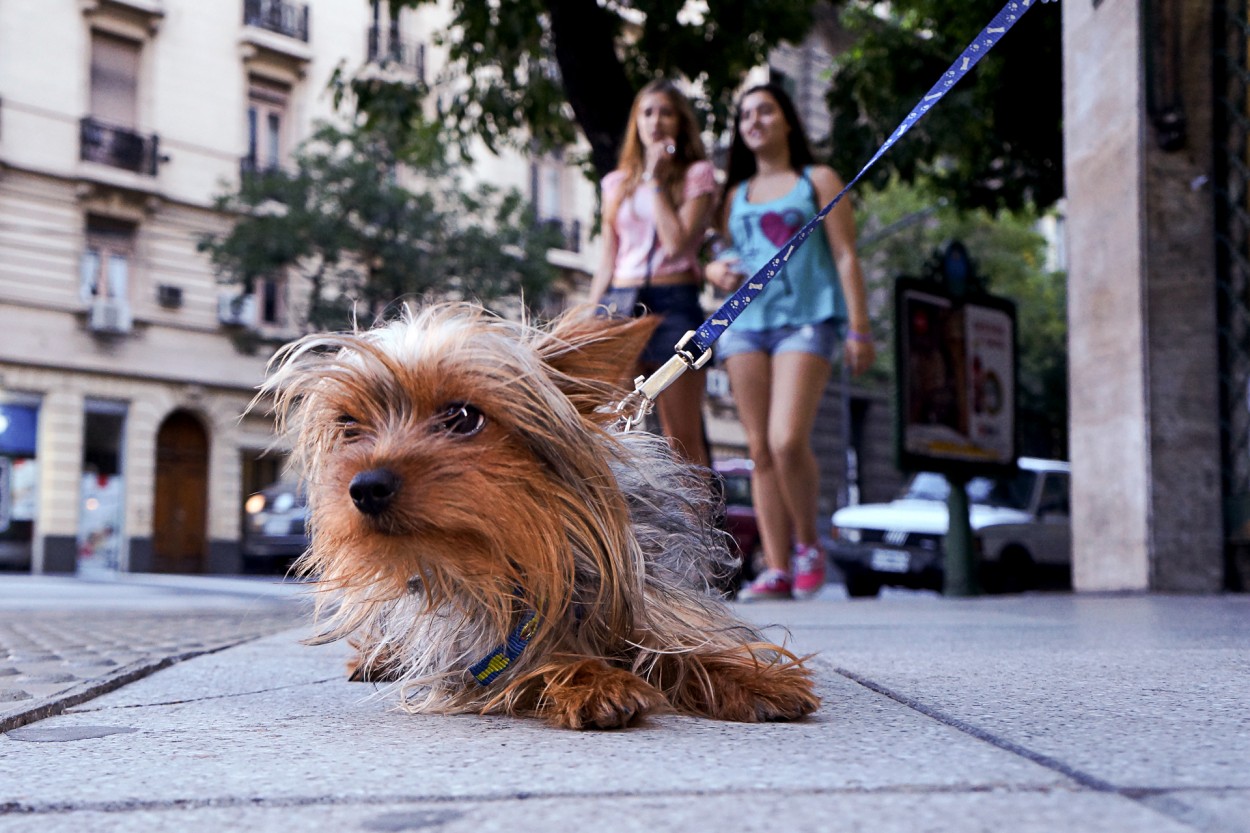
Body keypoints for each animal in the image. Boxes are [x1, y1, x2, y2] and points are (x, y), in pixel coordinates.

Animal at [263, 301, 820, 725]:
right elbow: (536, 663)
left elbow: (681, 645)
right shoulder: (476, 652)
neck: (529, 551)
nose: (365, 487)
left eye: (462, 417)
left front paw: (752, 678)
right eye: (349, 426)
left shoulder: (655, 600)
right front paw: (594, 682)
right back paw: (376, 658)